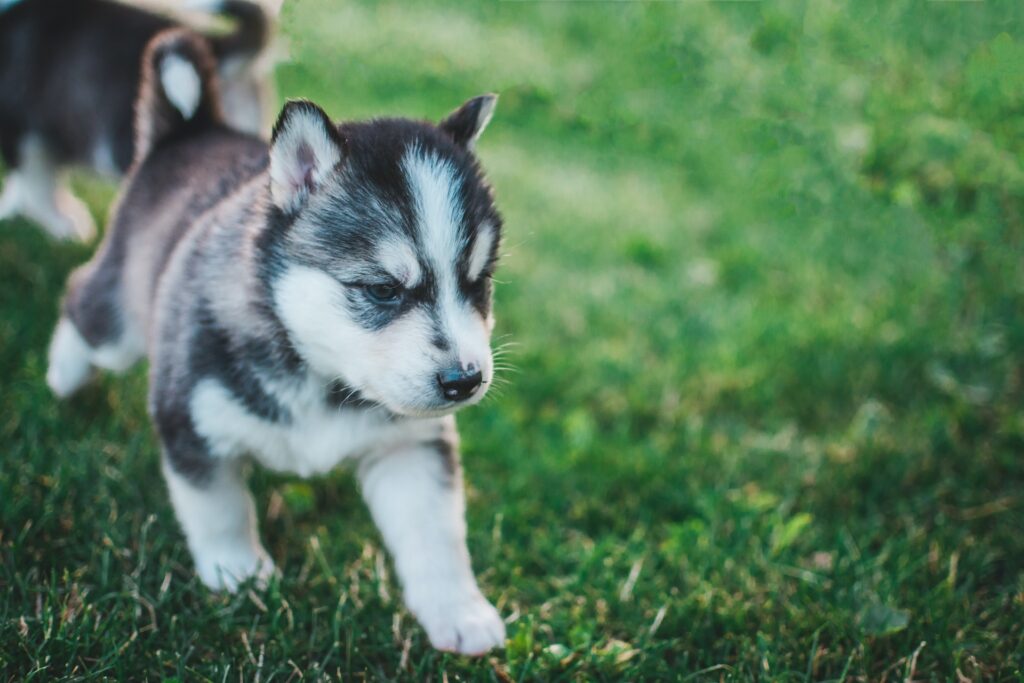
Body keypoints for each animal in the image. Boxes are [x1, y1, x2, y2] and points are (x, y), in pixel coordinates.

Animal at [48, 28, 512, 655]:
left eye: (478, 283)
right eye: (382, 289)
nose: (465, 381)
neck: (316, 371)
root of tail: (193, 129)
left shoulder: (409, 447)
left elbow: (437, 535)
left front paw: (459, 611)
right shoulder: (191, 421)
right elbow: (219, 511)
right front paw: (240, 575)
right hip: (119, 320)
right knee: (81, 299)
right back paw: (63, 375)